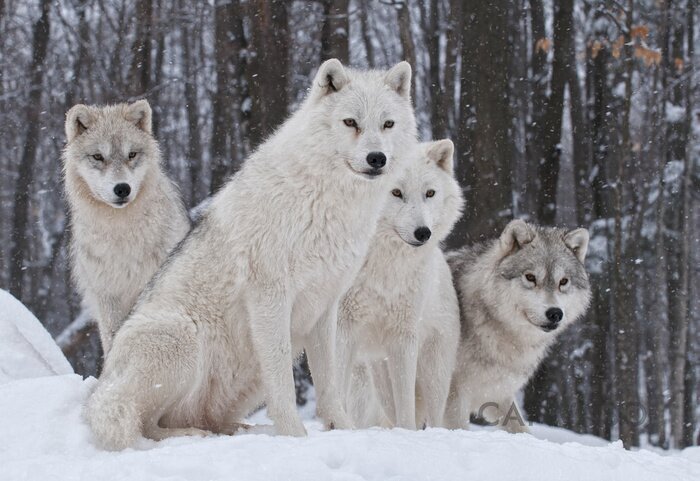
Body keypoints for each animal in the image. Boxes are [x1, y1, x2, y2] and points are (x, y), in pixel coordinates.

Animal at [61, 99, 189, 354]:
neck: (122, 233)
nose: (122, 188)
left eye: (131, 155)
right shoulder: (108, 298)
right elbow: (113, 339)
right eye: (98, 157)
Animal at [85, 58, 418, 448]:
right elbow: (284, 385)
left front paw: (344, 430)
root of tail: (102, 383)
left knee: (203, 419)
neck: (326, 201)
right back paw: (193, 435)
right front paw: (295, 437)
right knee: (145, 424)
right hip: (182, 337)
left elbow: (329, 384)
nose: (376, 158)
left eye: (387, 124)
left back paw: (241, 430)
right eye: (351, 122)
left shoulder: (325, 306)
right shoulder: (270, 297)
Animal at [340, 138, 464, 428]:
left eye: (429, 193)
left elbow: (406, 406)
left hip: (433, 373)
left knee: (432, 416)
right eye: (395, 192)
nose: (423, 233)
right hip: (375, 376)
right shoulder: (342, 328)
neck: (383, 267)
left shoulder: (404, 336)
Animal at [442, 219, 592, 434]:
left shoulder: (499, 393)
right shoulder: (453, 395)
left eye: (563, 281)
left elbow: (521, 430)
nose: (555, 313)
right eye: (530, 277)